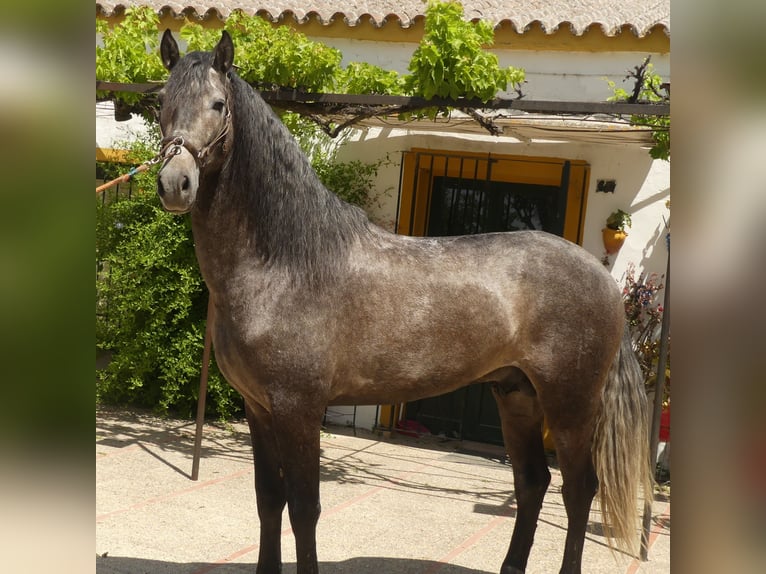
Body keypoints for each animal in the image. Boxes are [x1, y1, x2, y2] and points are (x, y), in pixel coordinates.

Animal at [156, 30, 656, 574]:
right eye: (162, 102)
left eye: (218, 104)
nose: (175, 183)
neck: (285, 265)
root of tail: (602, 277)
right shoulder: (259, 408)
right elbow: (269, 499)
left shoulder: (298, 409)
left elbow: (304, 509)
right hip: (516, 395)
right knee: (532, 483)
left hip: (571, 405)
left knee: (580, 489)